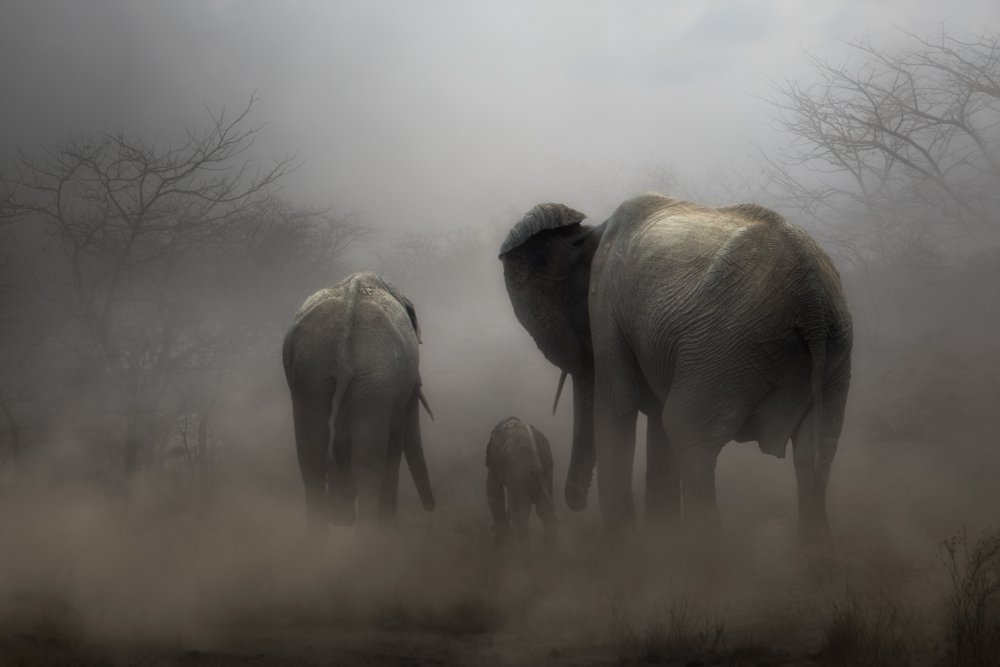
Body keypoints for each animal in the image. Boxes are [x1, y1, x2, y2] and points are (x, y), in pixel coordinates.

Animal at [284, 272, 436, 532]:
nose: (431, 508)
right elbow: (395, 443)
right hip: (376, 378)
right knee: (368, 466)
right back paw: (373, 538)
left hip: (310, 373)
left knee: (311, 460)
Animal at [484, 418, 556, 548]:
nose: (491, 528)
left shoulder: (494, 462)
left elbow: (493, 494)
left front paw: (499, 545)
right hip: (547, 469)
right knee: (545, 510)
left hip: (520, 473)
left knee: (520, 515)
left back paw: (519, 551)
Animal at [500, 193, 852, 536]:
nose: (573, 500)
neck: (591, 232)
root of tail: (812, 302)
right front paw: (659, 536)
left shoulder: (606, 307)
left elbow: (616, 406)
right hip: (831, 356)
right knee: (814, 458)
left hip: (724, 346)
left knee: (688, 437)